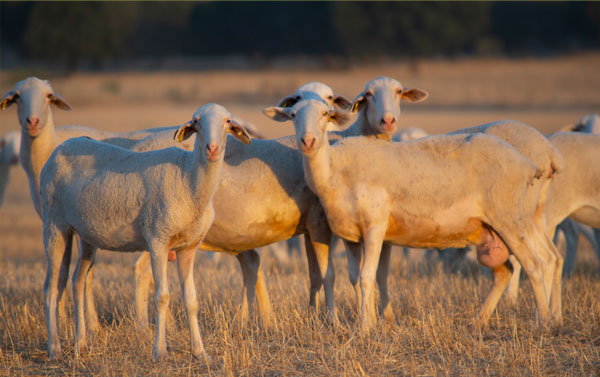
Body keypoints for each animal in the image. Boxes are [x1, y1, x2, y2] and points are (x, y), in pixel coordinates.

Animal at [39, 102, 251, 358]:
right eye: (196, 122)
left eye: (227, 122)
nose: (212, 149)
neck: (188, 178)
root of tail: (60, 148)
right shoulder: (158, 239)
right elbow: (162, 297)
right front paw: (160, 351)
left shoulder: (189, 247)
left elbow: (192, 300)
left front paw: (201, 352)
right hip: (54, 224)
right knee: (50, 288)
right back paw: (54, 348)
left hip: (86, 234)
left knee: (77, 281)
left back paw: (81, 344)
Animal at [264, 99, 560, 328]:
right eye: (293, 115)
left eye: (325, 114)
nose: (308, 141)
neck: (334, 170)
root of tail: (527, 163)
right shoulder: (350, 236)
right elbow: (355, 278)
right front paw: (368, 320)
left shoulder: (375, 227)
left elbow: (367, 276)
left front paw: (364, 327)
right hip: (499, 227)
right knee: (513, 268)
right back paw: (480, 321)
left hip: (509, 217)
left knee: (535, 264)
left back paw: (543, 321)